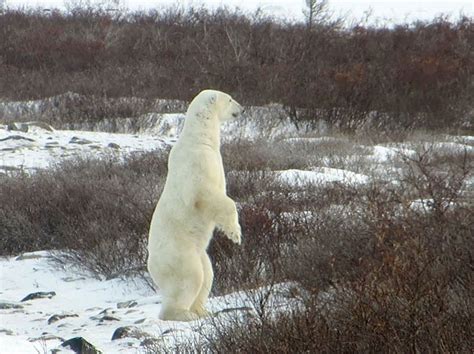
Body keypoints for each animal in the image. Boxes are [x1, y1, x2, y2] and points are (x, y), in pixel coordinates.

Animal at [147, 88, 244, 320]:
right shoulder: (198, 163)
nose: (242, 109)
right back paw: (183, 314)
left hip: (199, 252)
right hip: (179, 253)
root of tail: (151, 266)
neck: (200, 139)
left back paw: (202, 311)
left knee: (208, 274)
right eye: (229, 99)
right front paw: (235, 234)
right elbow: (207, 195)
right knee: (191, 277)